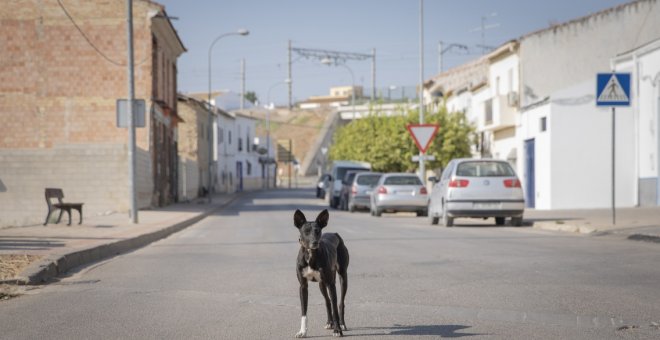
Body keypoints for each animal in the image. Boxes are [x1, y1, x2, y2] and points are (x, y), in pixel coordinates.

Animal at [296, 210, 350, 338]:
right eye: (306, 231)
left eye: (318, 231)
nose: (314, 242)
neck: (310, 255)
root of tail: (335, 234)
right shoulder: (303, 286)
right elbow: (304, 311)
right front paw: (302, 331)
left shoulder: (331, 284)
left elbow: (335, 308)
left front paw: (337, 330)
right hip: (322, 284)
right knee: (327, 301)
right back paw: (329, 322)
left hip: (342, 276)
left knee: (340, 302)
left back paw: (342, 324)